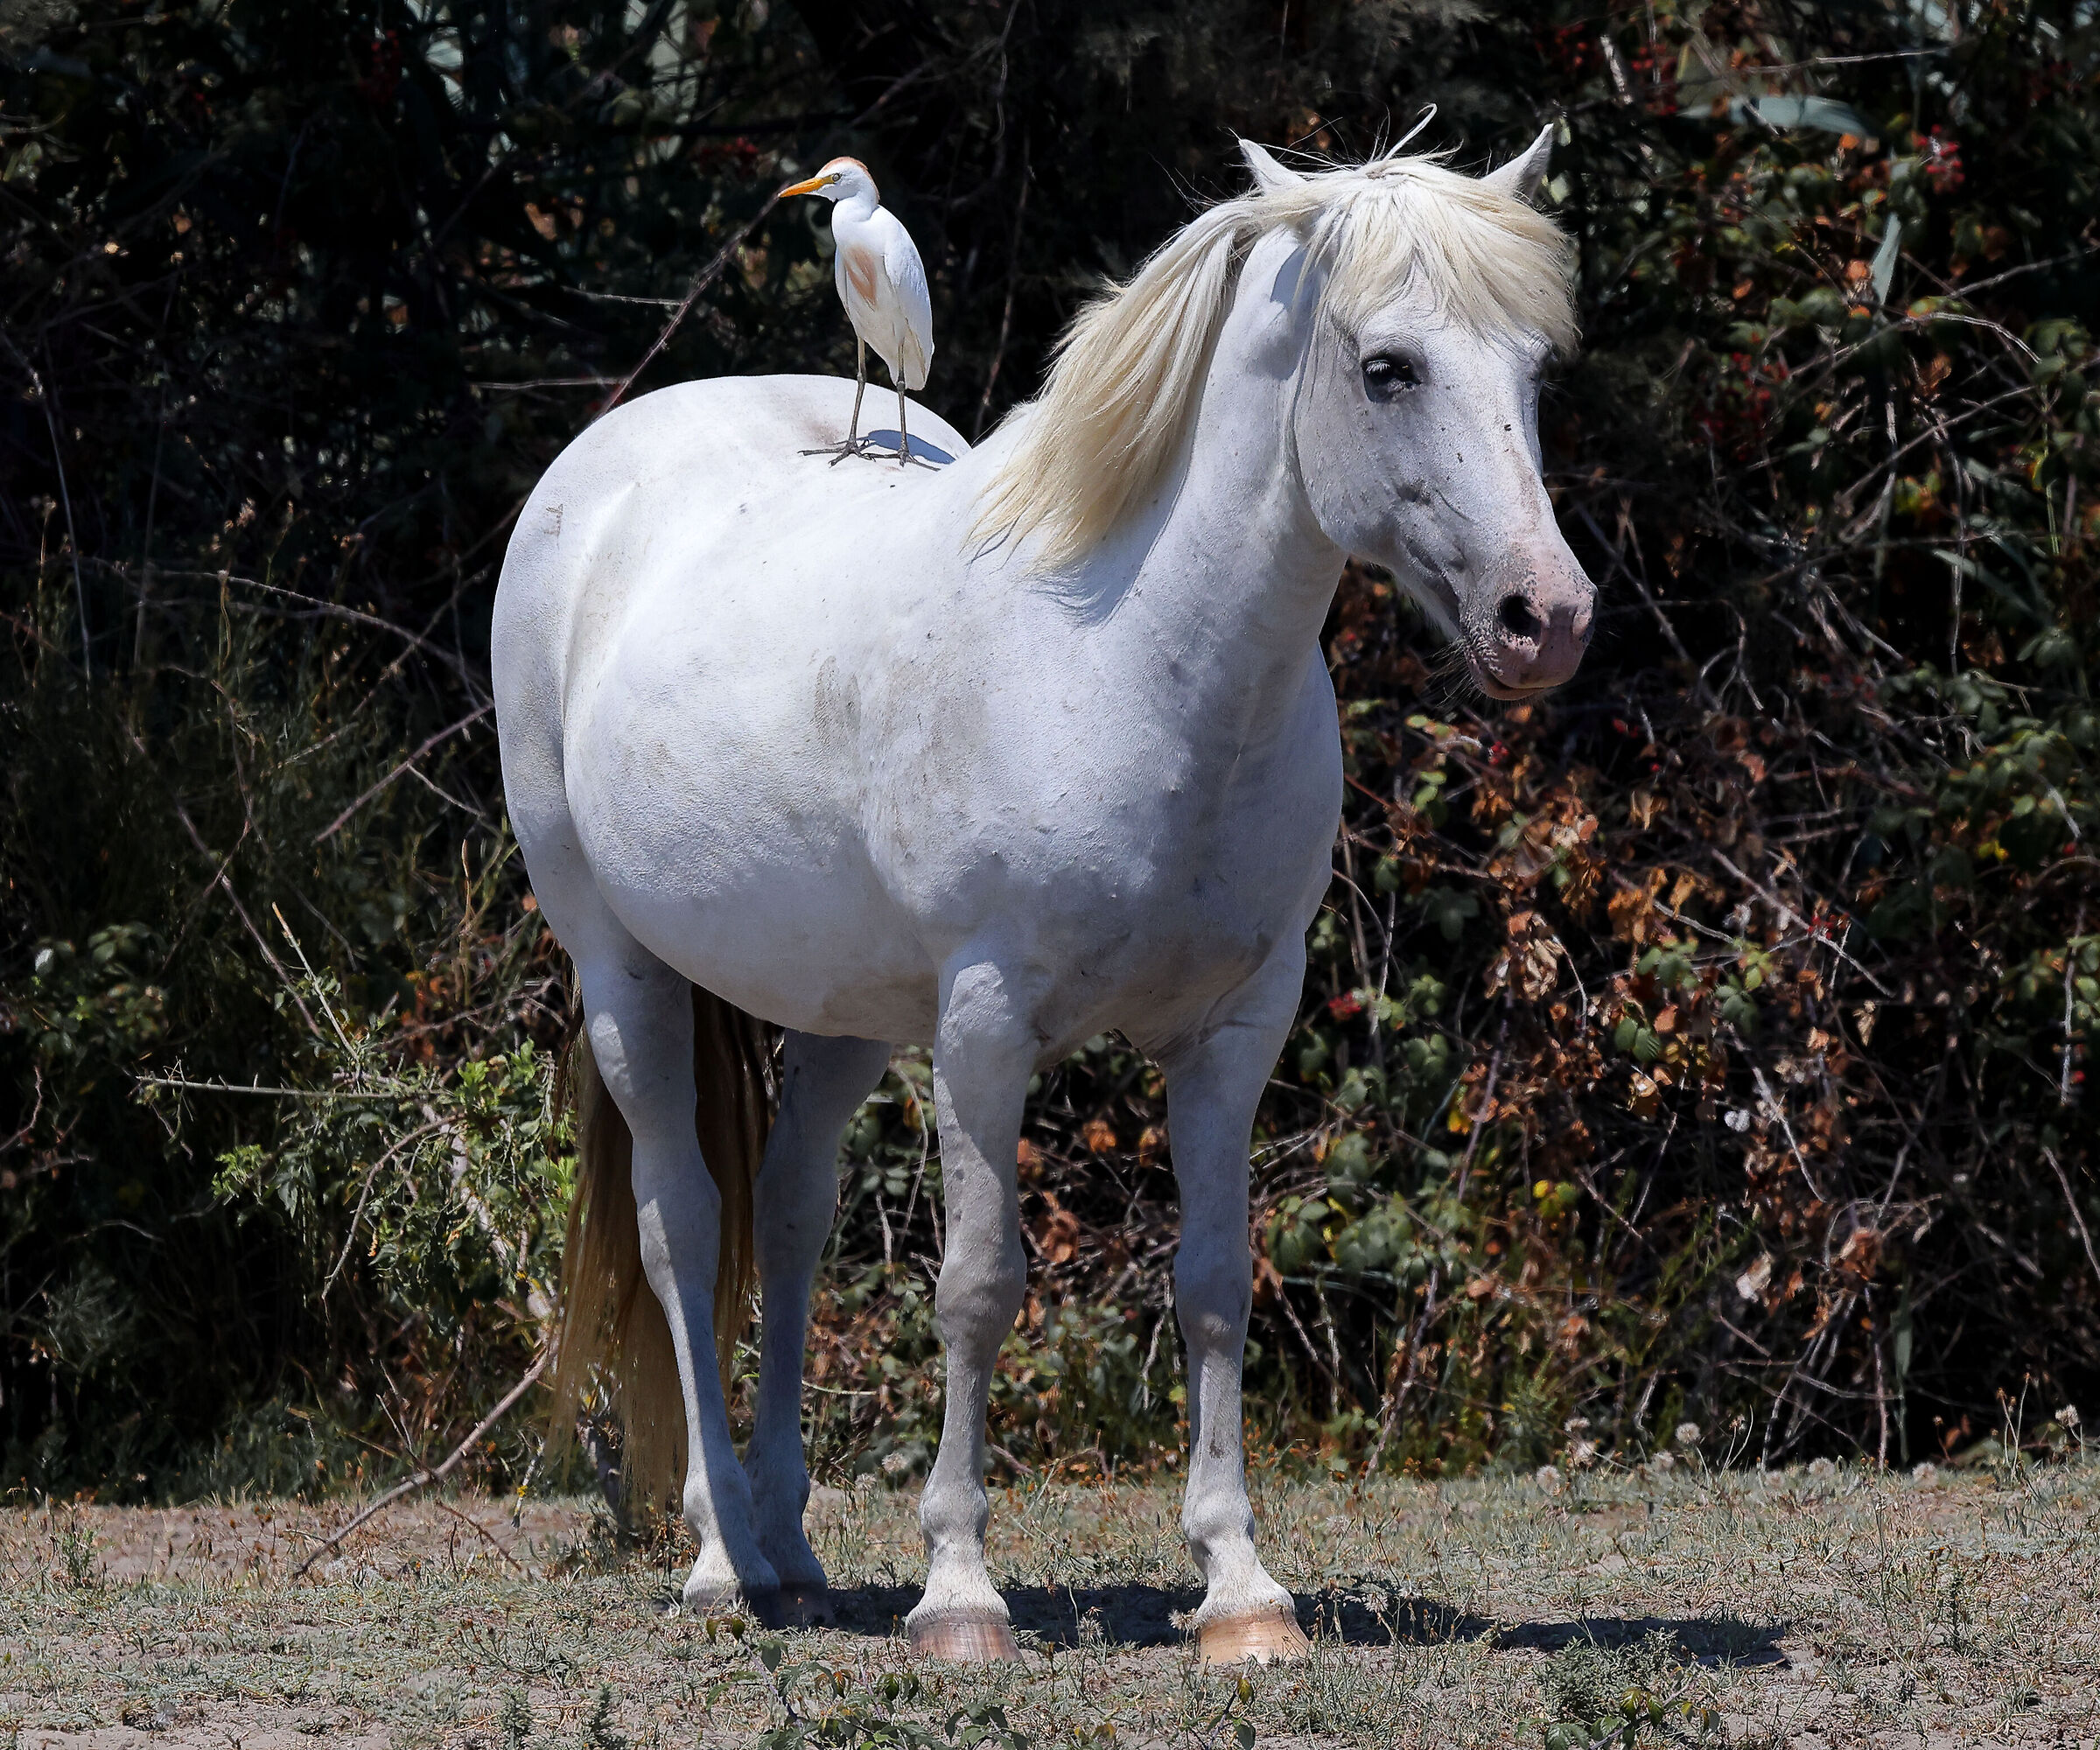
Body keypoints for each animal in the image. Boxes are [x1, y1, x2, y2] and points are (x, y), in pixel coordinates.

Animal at [492, 129, 1592, 1665]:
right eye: (1388, 367)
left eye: (1536, 368)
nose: (1545, 619)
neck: (1130, 659)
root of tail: (598, 470)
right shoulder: (985, 1026)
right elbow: (977, 1285)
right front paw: (961, 1592)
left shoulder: (1236, 1033)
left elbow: (1213, 1282)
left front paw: (1241, 1591)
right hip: (621, 972)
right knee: (684, 1226)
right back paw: (722, 1561)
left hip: (836, 1015)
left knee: (789, 1220)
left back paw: (793, 1553)